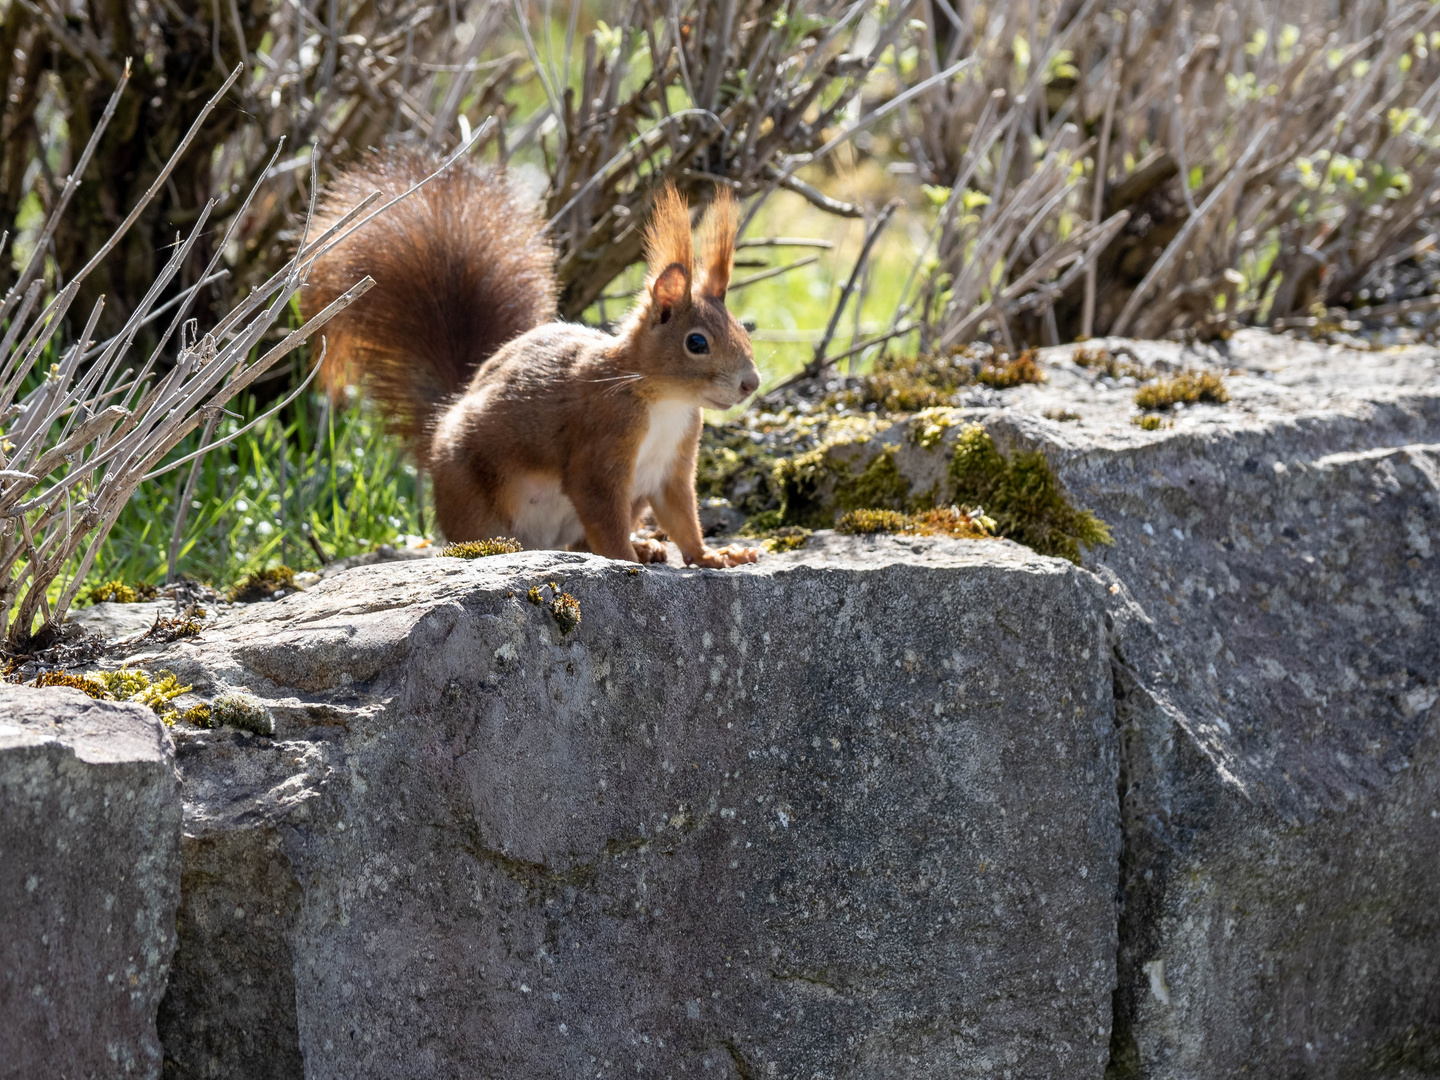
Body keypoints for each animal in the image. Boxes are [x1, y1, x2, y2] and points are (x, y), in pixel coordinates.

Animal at [305, 154, 766, 576]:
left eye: (744, 330)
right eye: (696, 343)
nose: (752, 383)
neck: (662, 399)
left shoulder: (674, 464)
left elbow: (683, 517)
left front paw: (713, 556)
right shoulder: (602, 442)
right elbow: (603, 513)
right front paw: (626, 559)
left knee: (581, 542)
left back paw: (645, 545)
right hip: (472, 497)